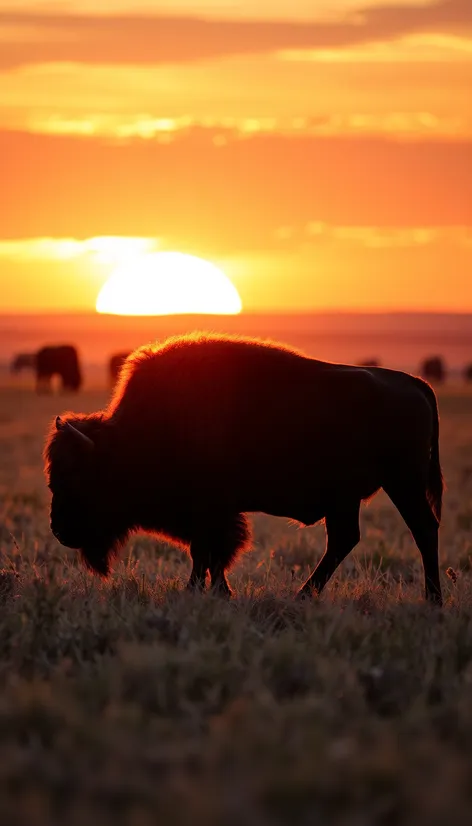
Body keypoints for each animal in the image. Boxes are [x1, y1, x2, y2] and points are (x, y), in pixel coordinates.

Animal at [43, 334, 442, 604]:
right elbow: (206, 553)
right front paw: (209, 591)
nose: (58, 530)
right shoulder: (209, 513)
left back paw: (432, 600)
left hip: (401, 483)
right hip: (348, 498)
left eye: (78, 476)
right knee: (345, 540)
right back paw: (304, 595)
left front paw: (207, 592)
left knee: (422, 530)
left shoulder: (211, 510)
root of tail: (412, 383)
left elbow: (210, 551)